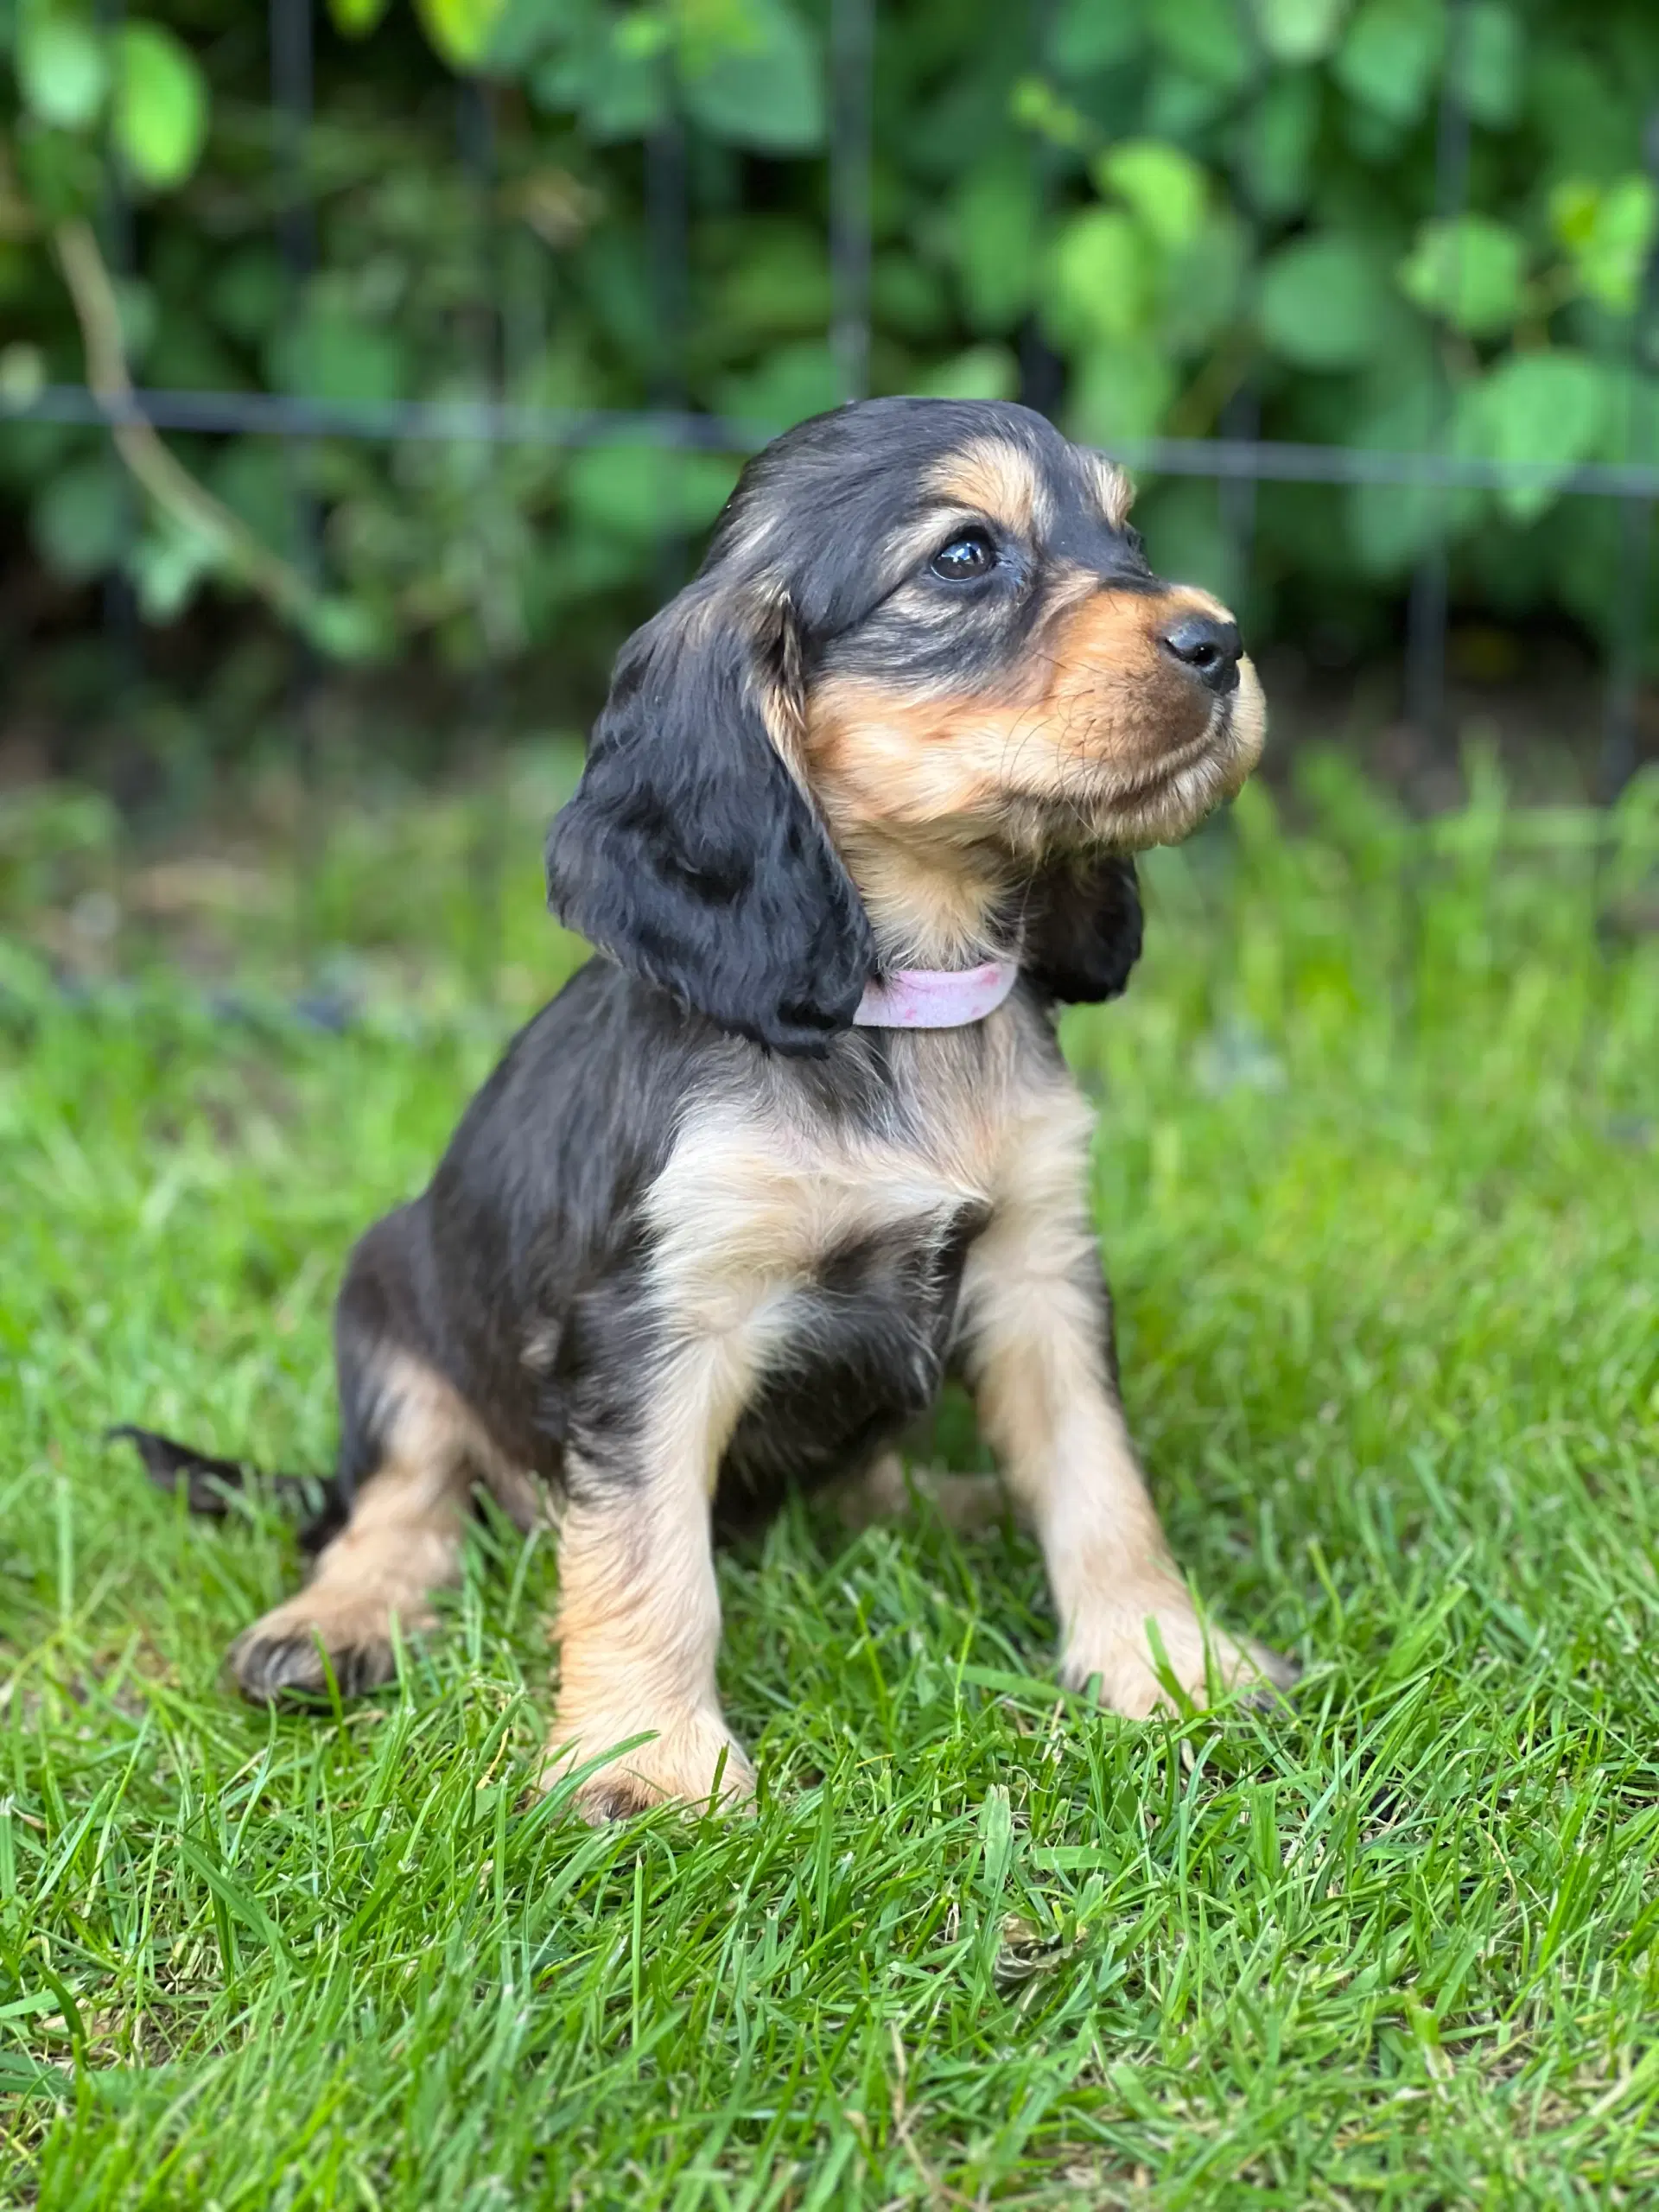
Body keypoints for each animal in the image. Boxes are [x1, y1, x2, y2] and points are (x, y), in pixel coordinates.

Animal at [123, 393, 1292, 1814]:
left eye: (1129, 535)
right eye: (964, 557)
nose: (1222, 643)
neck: (896, 1009)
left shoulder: (1039, 1272)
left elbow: (1101, 1479)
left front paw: (1168, 1661)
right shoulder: (658, 1322)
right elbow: (646, 1553)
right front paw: (651, 1763)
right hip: (391, 1297)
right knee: (396, 1504)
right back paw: (330, 1626)